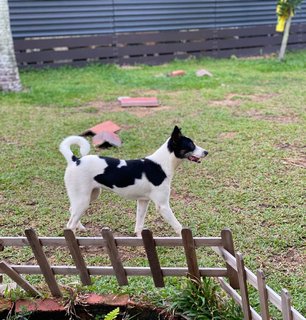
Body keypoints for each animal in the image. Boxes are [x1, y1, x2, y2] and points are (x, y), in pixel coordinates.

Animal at [59, 126, 208, 236]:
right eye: (191, 145)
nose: (206, 152)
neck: (161, 164)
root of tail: (75, 160)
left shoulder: (143, 201)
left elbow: (139, 224)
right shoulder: (163, 206)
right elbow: (178, 226)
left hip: (91, 195)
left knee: (71, 210)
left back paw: (80, 228)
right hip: (83, 200)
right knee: (69, 225)